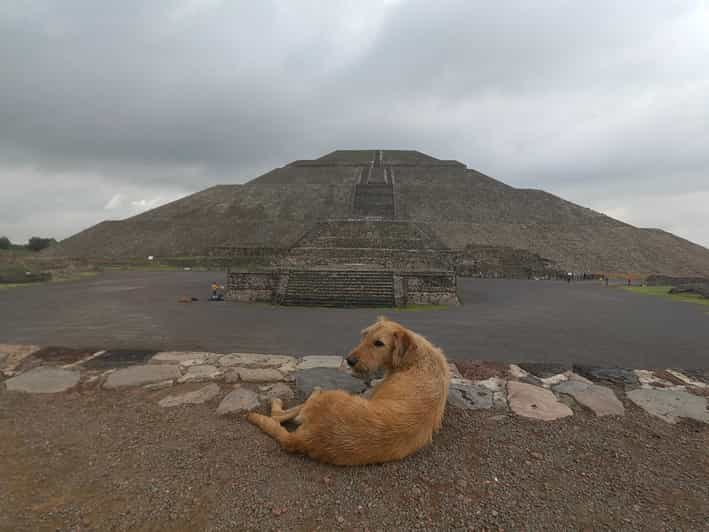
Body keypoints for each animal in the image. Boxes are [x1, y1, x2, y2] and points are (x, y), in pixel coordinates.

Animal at [246, 318, 448, 464]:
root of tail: (305, 439)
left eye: (379, 343)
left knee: (279, 415)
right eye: (364, 335)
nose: (350, 360)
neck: (416, 357)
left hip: (328, 396)